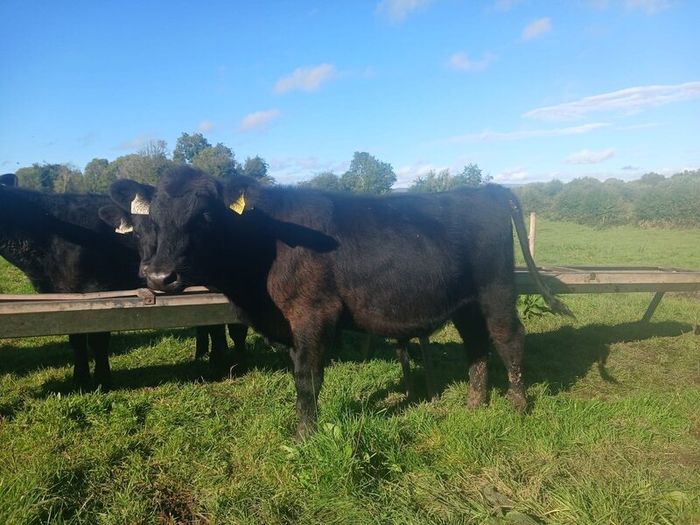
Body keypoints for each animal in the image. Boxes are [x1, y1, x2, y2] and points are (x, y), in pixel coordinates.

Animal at [113, 166, 571, 437]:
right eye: (153, 219)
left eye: (205, 214)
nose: (159, 276)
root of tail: (487, 191)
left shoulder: (314, 313)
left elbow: (306, 377)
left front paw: (304, 436)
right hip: (466, 301)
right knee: (476, 343)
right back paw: (475, 405)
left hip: (496, 288)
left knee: (508, 338)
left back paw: (518, 407)